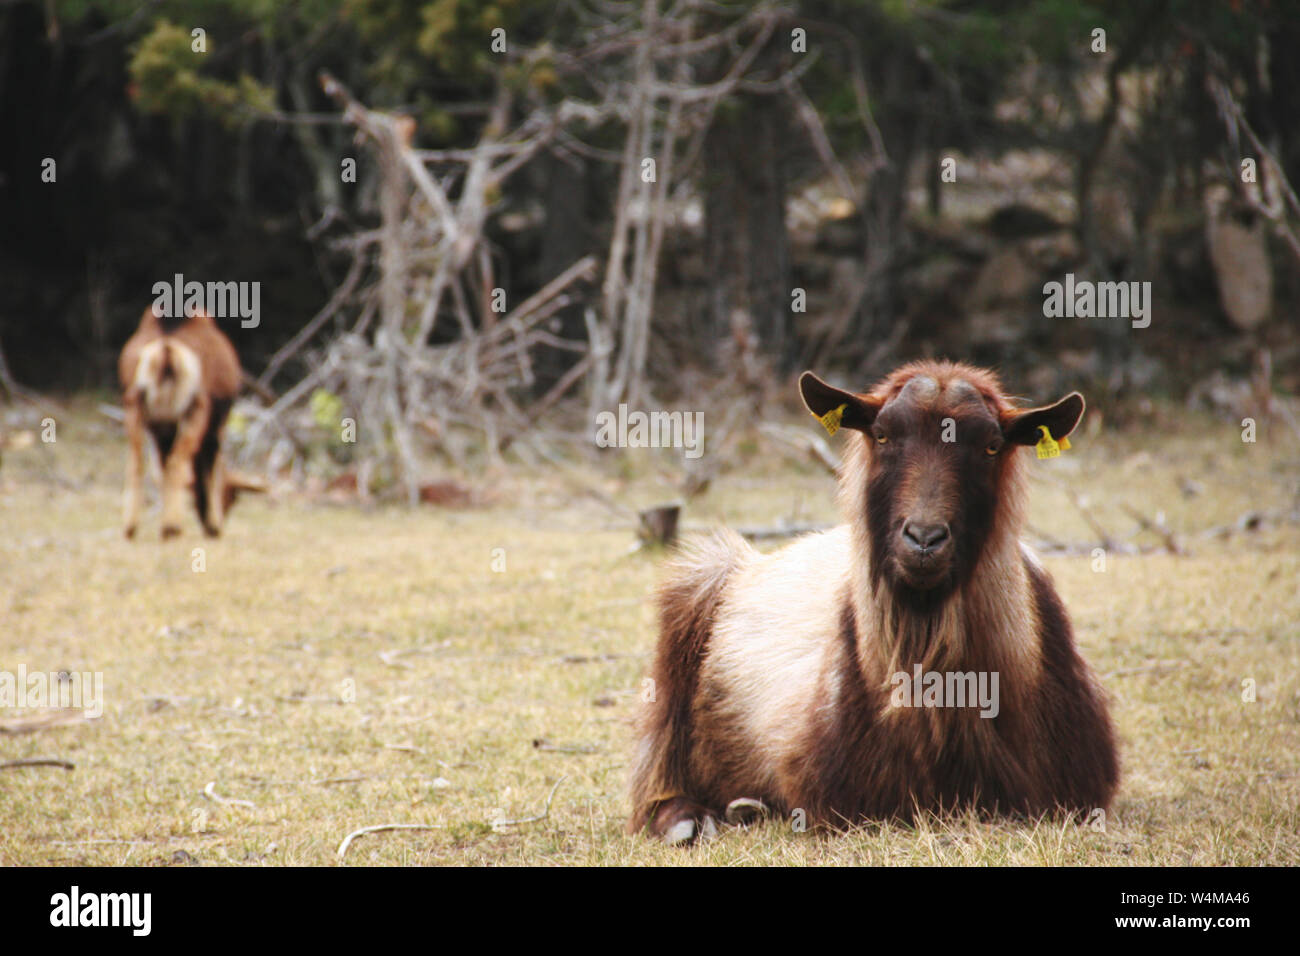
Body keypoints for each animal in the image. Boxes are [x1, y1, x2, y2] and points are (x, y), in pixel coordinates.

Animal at [119, 306, 247, 539]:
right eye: (231, 497)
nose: (222, 519)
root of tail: (166, 353)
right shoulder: (216, 425)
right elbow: (209, 470)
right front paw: (213, 525)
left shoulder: (162, 430)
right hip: (194, 409)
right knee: (177, 462)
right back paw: (172, 527)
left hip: (133, 403)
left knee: (137, 460)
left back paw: (130, 527)